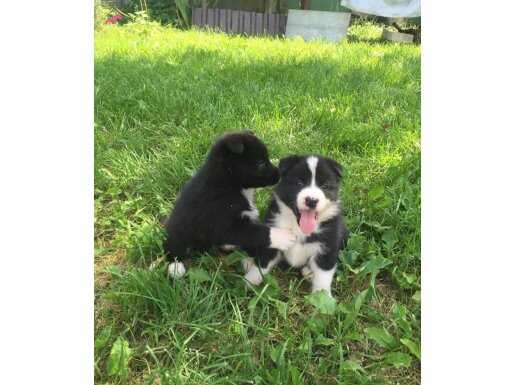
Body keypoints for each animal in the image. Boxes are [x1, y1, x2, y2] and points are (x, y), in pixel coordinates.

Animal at [163, 130, 296, 278]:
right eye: (260, 164)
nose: (279, 175)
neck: (228, 183)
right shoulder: (222, 222)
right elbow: (256, 232)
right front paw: (283, 236)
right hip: (179, 232)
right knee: (172, 247)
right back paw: (175, 266)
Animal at [243, 154, 350, 296]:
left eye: (325, 186)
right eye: (299, 183)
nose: (311, 200)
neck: (298, 227)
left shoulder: (327, 247)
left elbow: (323, 275)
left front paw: (322, 295)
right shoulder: (274, 236)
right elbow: (263, 262)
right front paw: (249, 281)